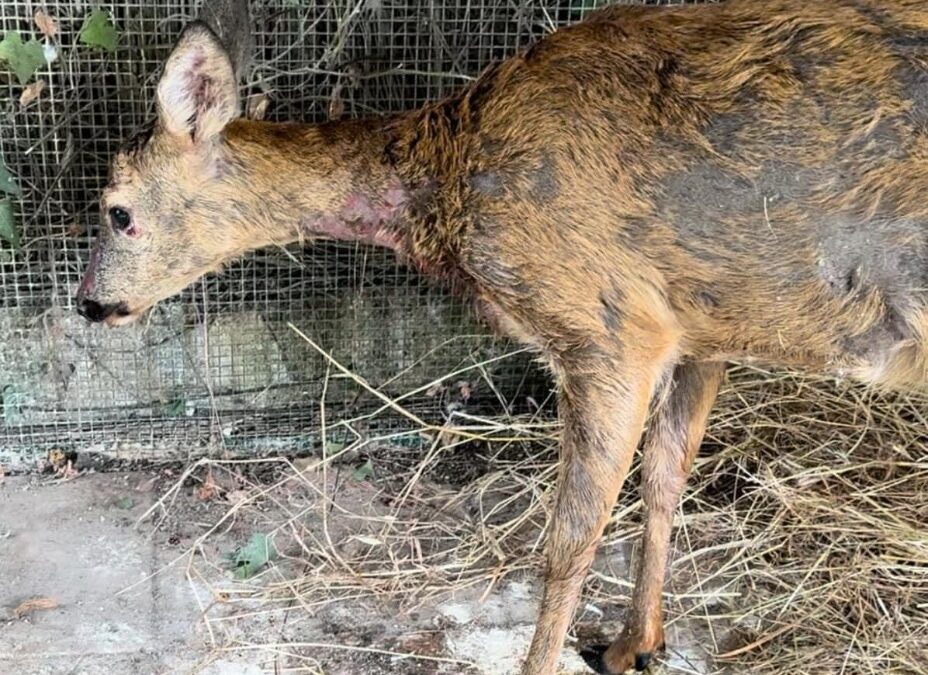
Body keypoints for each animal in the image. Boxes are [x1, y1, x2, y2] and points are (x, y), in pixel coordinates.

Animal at [76, 1, 928, 672]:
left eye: (117, 210)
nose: (88, 303)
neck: (450, 178)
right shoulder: (702, 326)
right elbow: (665, 479)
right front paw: (636, 643)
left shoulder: (612, 326)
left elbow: (569, 540)